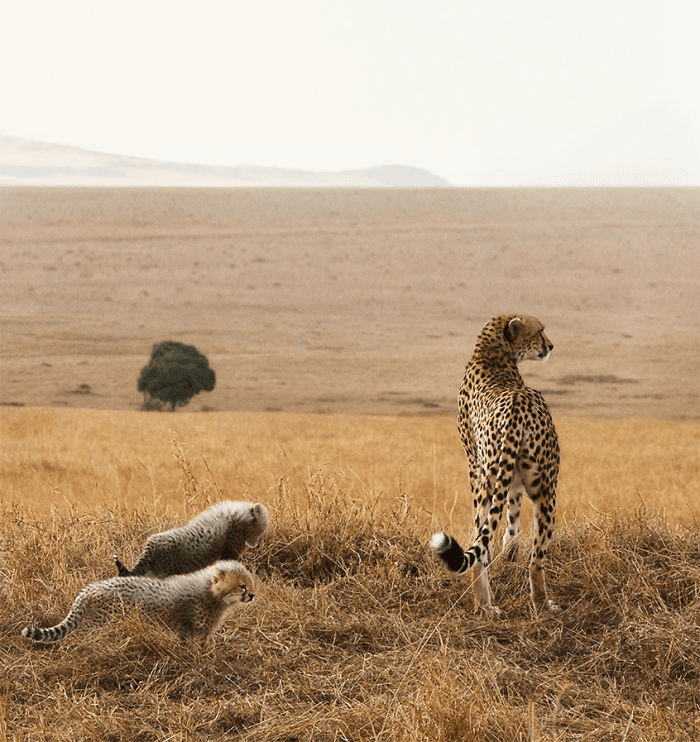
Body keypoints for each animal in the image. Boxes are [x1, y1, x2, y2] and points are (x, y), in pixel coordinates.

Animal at [430, 314, 560, 616]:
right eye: (539, 331)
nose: (550, 346)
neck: (491, 355)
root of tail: (517, 406)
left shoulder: (488, 473)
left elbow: (504, 525)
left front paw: (508, 552)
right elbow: (514, 515)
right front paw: (510, 551)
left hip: (487, 483)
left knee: (480, 544)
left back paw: (484, 605)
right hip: (547, 489)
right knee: (536, 558)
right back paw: (542, 604)